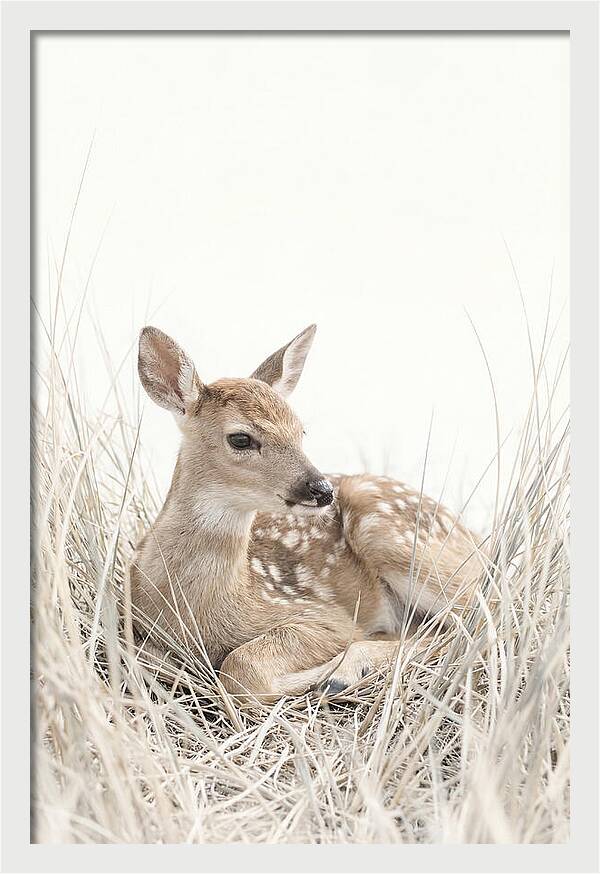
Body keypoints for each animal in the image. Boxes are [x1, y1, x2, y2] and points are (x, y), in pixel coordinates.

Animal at [130, 324, 485, 703]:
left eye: (300, 431)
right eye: (240, 438)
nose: (322, 489)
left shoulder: (322, 615)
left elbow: (242, 669)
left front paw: (320, 675)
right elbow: (148, 659)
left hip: (391, 535)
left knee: (478, 618)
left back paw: (343, 673)